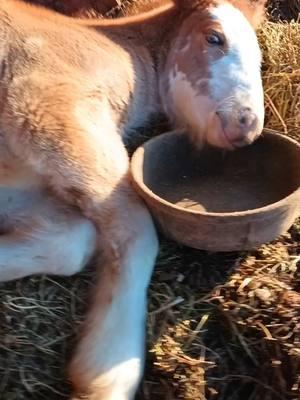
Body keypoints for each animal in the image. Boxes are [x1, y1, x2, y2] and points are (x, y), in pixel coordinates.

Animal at [0, 1, 264, 398]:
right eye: (215, 37)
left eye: (260, 58)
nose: (247, 124)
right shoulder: (48, 107)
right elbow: (136, 230)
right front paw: (105, 374)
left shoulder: (18, 182)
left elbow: (70, 241)